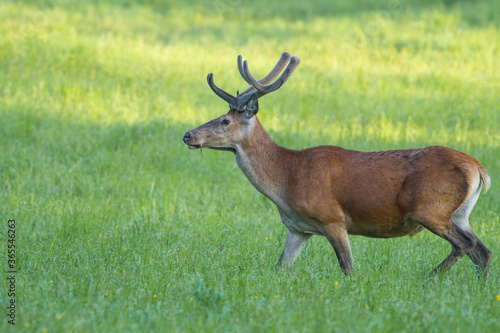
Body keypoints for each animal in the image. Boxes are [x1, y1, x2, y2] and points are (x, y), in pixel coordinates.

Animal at [184, 51, 492, 280]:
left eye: (225, 120)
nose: (188, 135)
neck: (285, 180)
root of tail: (479, 169)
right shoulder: (297, 229)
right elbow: (279, 267)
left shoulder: (333, 217)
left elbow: (348, 269)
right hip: (459, 213)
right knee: (483, 251)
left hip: (430, 208)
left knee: (466, 245)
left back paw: (429, 278)